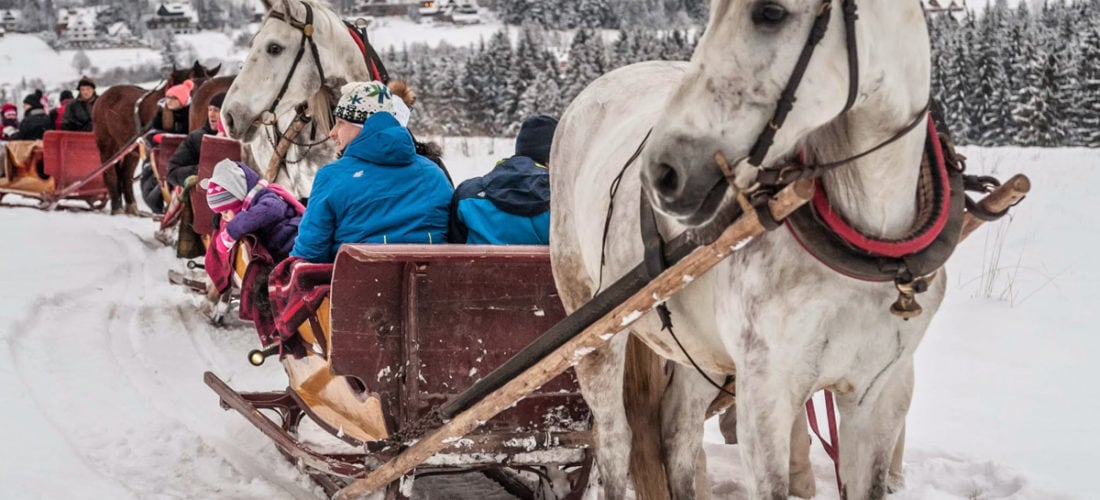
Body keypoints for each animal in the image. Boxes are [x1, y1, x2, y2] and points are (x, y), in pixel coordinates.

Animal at [92, 61, 221, 214]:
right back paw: (117, 207)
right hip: (107, 145)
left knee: (125, 175)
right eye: (196, 84)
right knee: (110, 172)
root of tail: (102, 97)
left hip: (131, 151)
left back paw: (132, 207)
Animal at [554, 1, 932, 498]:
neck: (869, 248)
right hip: (592, 330)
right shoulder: (766, 395)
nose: (662, 172)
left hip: (699, 353)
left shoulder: (881, 395)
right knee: (614, 440)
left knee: (678, 438)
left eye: (770, 13)